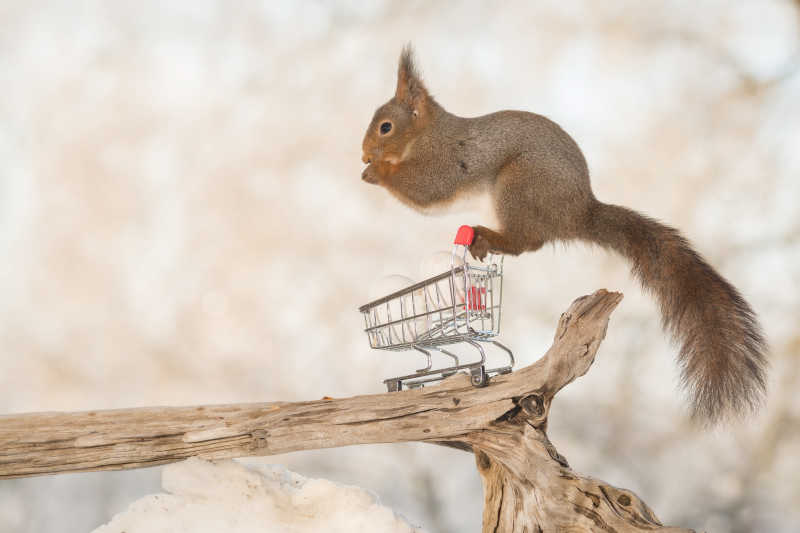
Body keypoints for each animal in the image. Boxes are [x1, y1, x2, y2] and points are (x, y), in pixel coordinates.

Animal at [362, 46, 768, 424]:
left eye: (385, 127)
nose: (364, 154)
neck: (429, 135)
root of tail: (578, 213)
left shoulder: (449, 161)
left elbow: (428, 189)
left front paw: (376, 172)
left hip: (519, 184)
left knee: (528, 241)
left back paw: (486, 237)